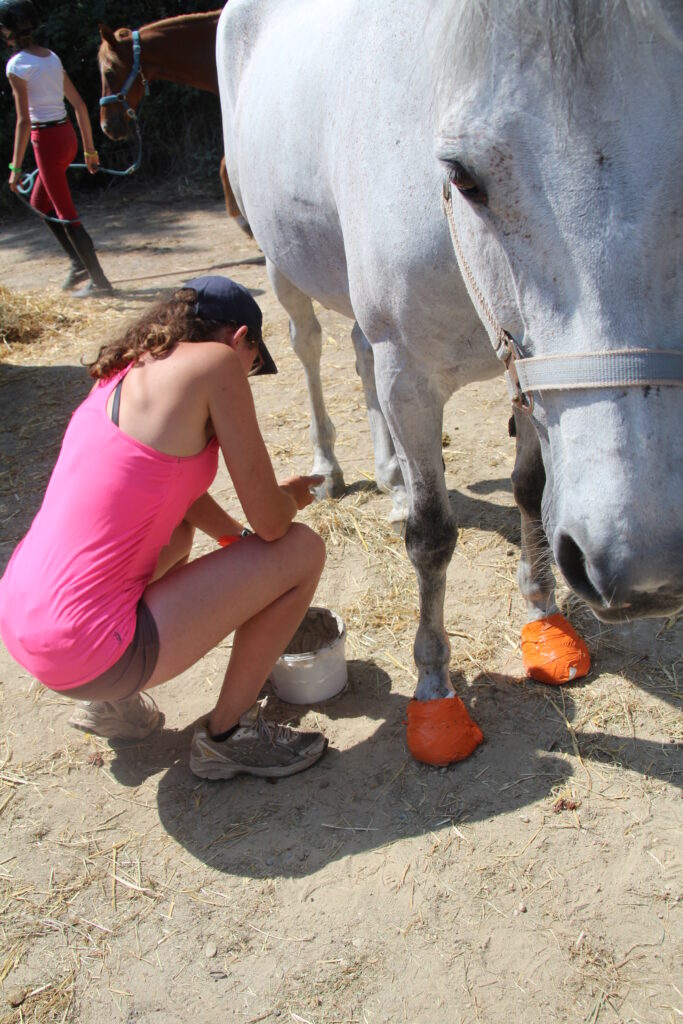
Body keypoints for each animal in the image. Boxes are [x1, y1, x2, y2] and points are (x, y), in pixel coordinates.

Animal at [217, 0, 683, 763]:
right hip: (284, 268)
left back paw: (391, 477)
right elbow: (433, 539)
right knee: (309, 346)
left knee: (356, 353)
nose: (642, 571)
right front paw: (434, 694)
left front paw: (544, 621)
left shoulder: (523, 369)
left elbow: (529, 488)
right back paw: (330, 467)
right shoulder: (410, 379)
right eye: (462, 175)